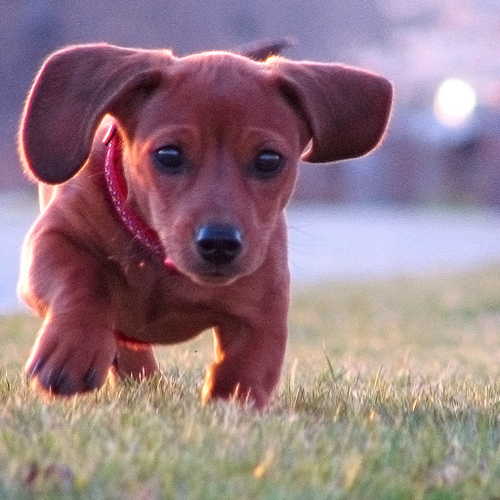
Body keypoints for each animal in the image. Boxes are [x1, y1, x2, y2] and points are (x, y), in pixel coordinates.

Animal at [17, 41, 392, 408]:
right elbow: (82, 277)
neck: (157, 256)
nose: (220, 244)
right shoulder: (52, 238)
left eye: (269, 159)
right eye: (169, 155)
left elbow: (245, 367)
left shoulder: (263, 301)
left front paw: (232, 408)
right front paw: (73, 349)